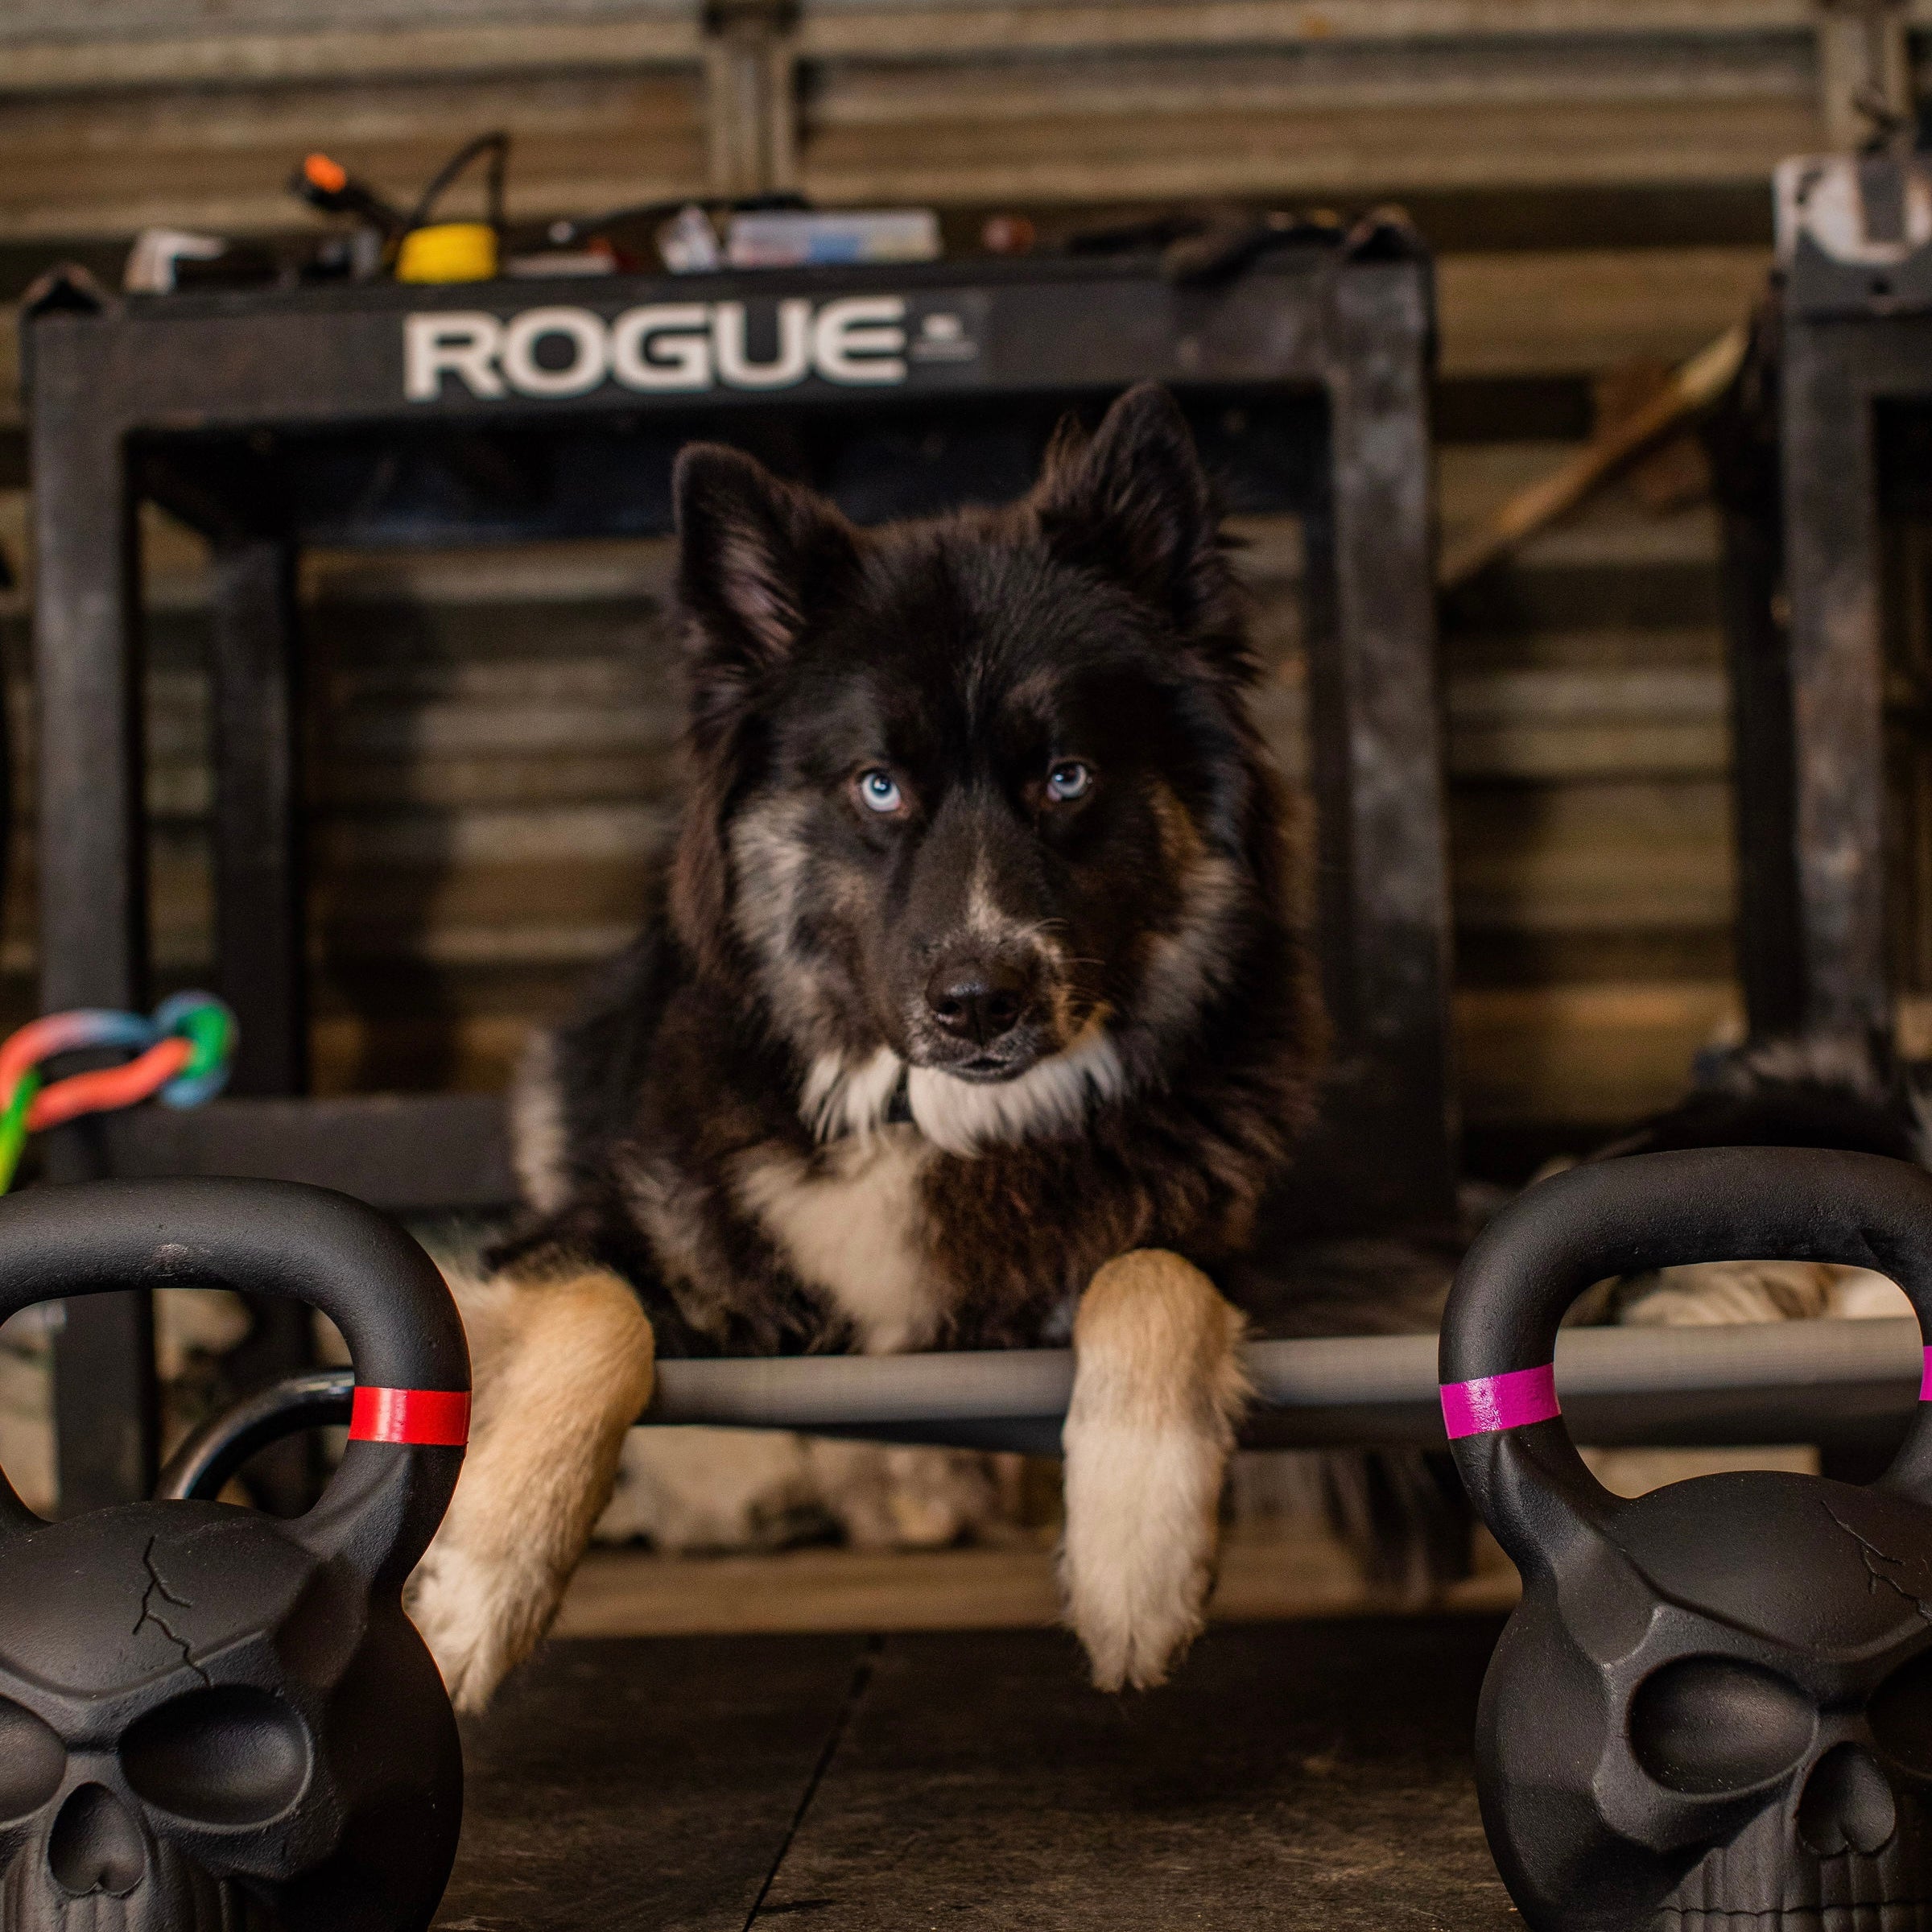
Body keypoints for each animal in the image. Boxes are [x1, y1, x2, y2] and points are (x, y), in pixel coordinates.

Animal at [411, 388, 1329, 1707]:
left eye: (1068, 777)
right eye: (879, 786)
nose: (981, 1001)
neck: (928, 1119)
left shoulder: (1217, 1249)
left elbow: (1152, 1276)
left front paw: (1136, 1566)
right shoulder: (566, 1237)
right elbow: (600, 1314)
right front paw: (479, 1590)